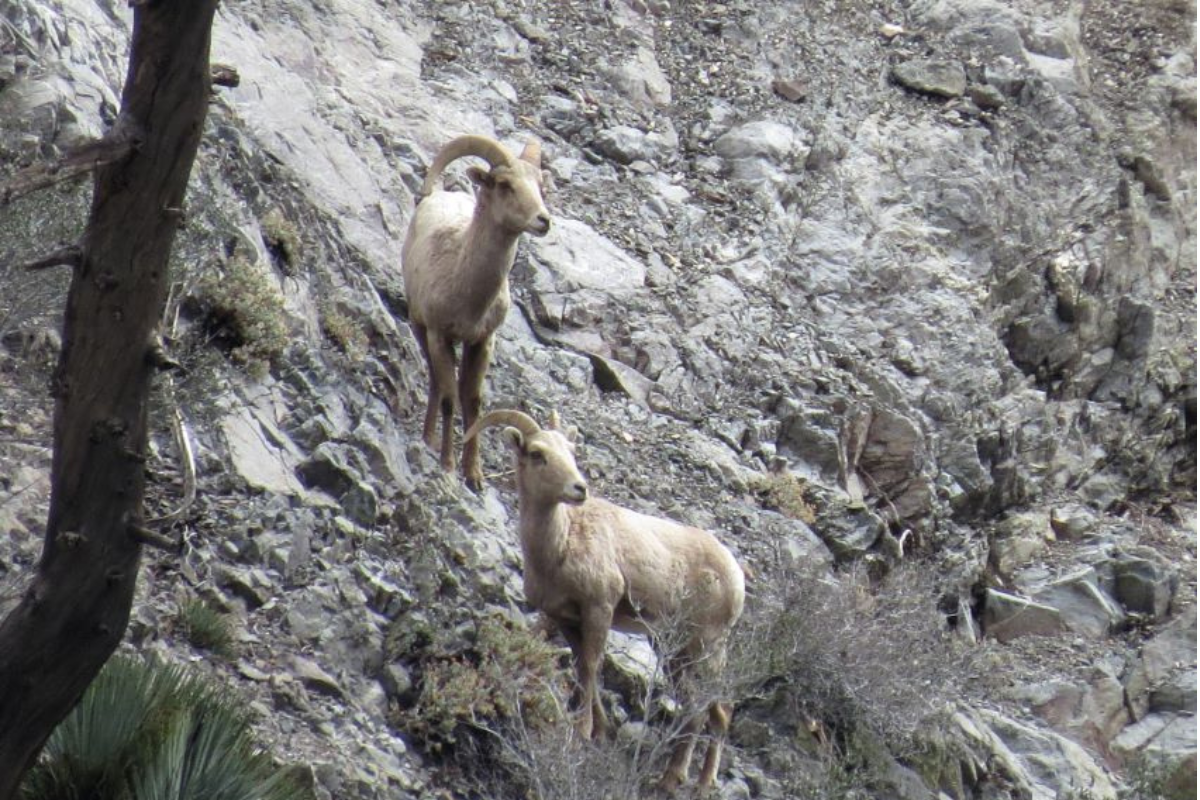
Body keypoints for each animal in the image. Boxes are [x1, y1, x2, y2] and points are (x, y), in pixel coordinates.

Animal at [403, 133, 552, 489]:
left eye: (540, 186)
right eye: (505, 184)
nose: (543, 221)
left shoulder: (482, 342)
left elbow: (473, 402)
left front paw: (474, 476)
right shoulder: (440, 336)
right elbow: (449, 398)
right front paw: (447, 465)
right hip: (420, 329)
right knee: (436, 383)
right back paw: (428, 440)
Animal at [463, 410, 744, 791]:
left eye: (571, 451)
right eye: (537, 454)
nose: (578, 489)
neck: (561, 545)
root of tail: (736, 577)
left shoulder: (600, 608)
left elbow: (592, 666)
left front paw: (582, 731)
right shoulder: (566, 619)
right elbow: (584, 667)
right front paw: (598, 731)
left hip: (704, 645)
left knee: (701, 706)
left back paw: (677, 779)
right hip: (678, 652)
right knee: (714, 707)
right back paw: (695, 780)